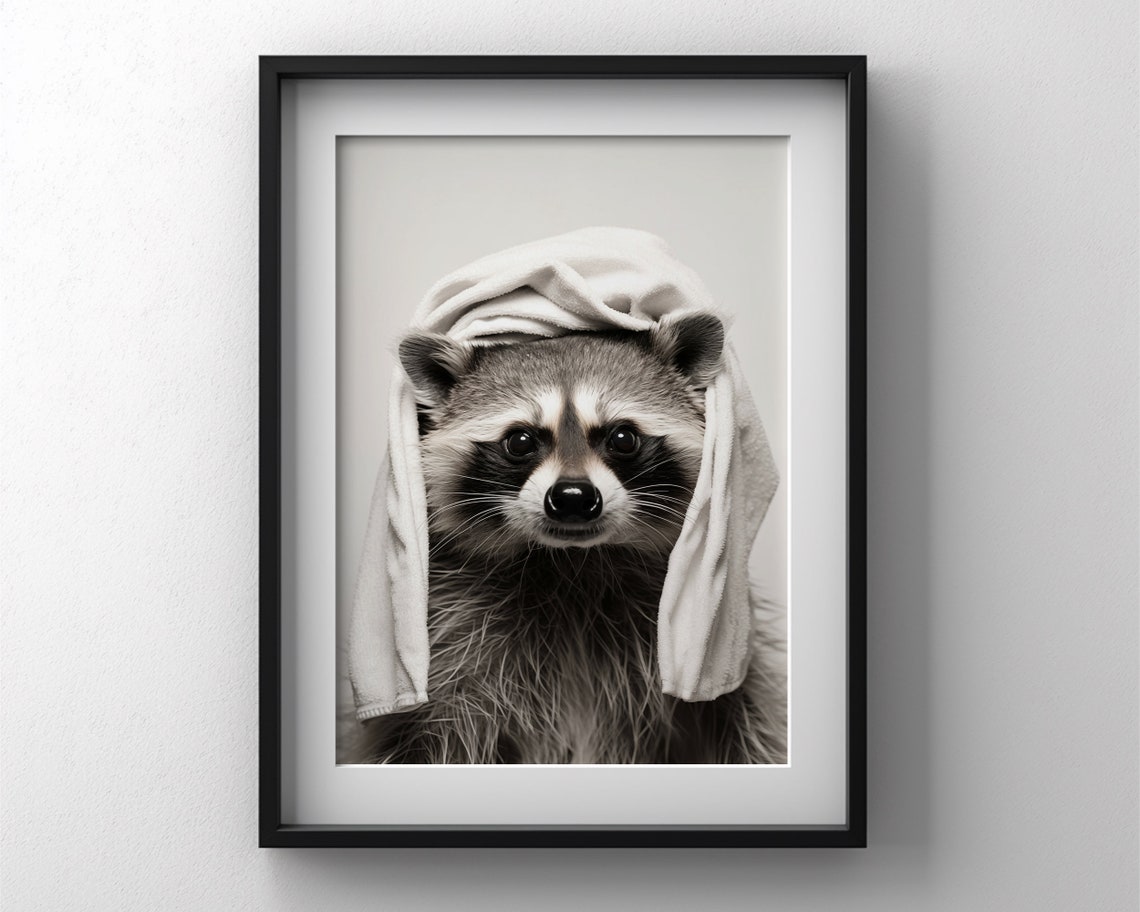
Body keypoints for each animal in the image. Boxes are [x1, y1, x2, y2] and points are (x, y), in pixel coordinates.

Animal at [351, 313, 786, 764]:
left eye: (623, 437)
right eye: (520, 441)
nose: (573, 497)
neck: (574, 559)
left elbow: (746, 726)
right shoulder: (452, 641)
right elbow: (417, 739)